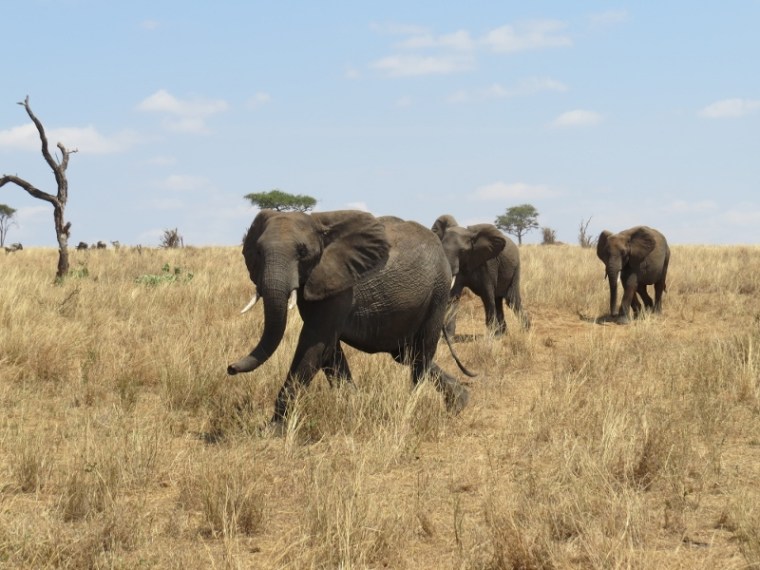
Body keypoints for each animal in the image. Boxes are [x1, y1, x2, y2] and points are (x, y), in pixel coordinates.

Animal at [227, 209, 472, 425]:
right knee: (407, 354)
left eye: (302, 252)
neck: (319, 225)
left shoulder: (340, 286)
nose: (230, 368)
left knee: (422, 352)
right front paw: (354, 405)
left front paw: (274, 429)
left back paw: (411, 407)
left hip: (438, 291)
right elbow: (327, 348)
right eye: (258, 253)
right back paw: (459, 402)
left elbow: (313, 343)